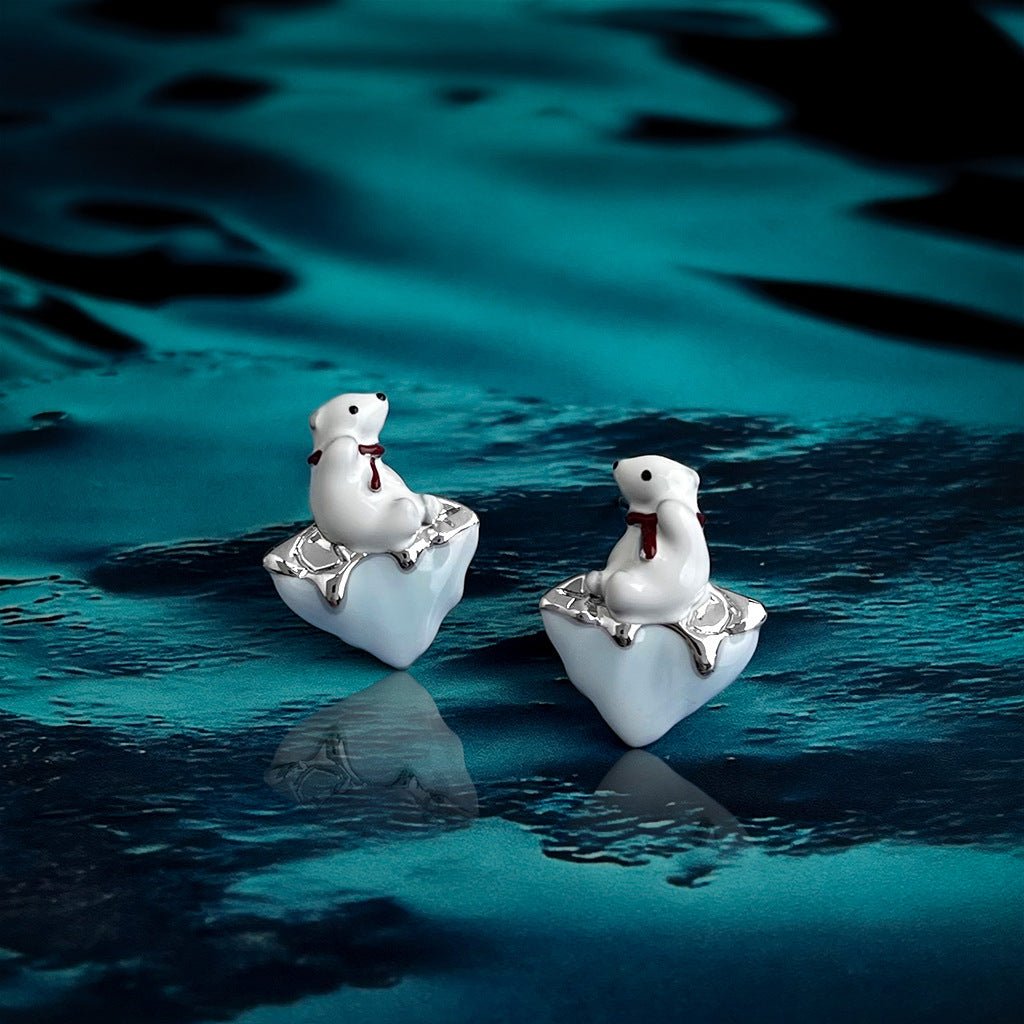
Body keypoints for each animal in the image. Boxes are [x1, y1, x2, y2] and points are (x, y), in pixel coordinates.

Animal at [307, 391, 441, 553]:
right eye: (353, 409)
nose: (381, 395)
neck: (366, 449)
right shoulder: (337, 452)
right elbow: (345, 446)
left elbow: (393, 477)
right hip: (377, 528)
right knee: (405, 514)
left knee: (423, 500)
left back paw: (431, 506)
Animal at [584, 455, 710, 624]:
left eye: (646, 475)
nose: (616, 463)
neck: (645, 519)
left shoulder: (683, 518)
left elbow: (671, 510)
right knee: (594, 579)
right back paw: (596, 580)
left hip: (645, 596)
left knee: (618, 588)